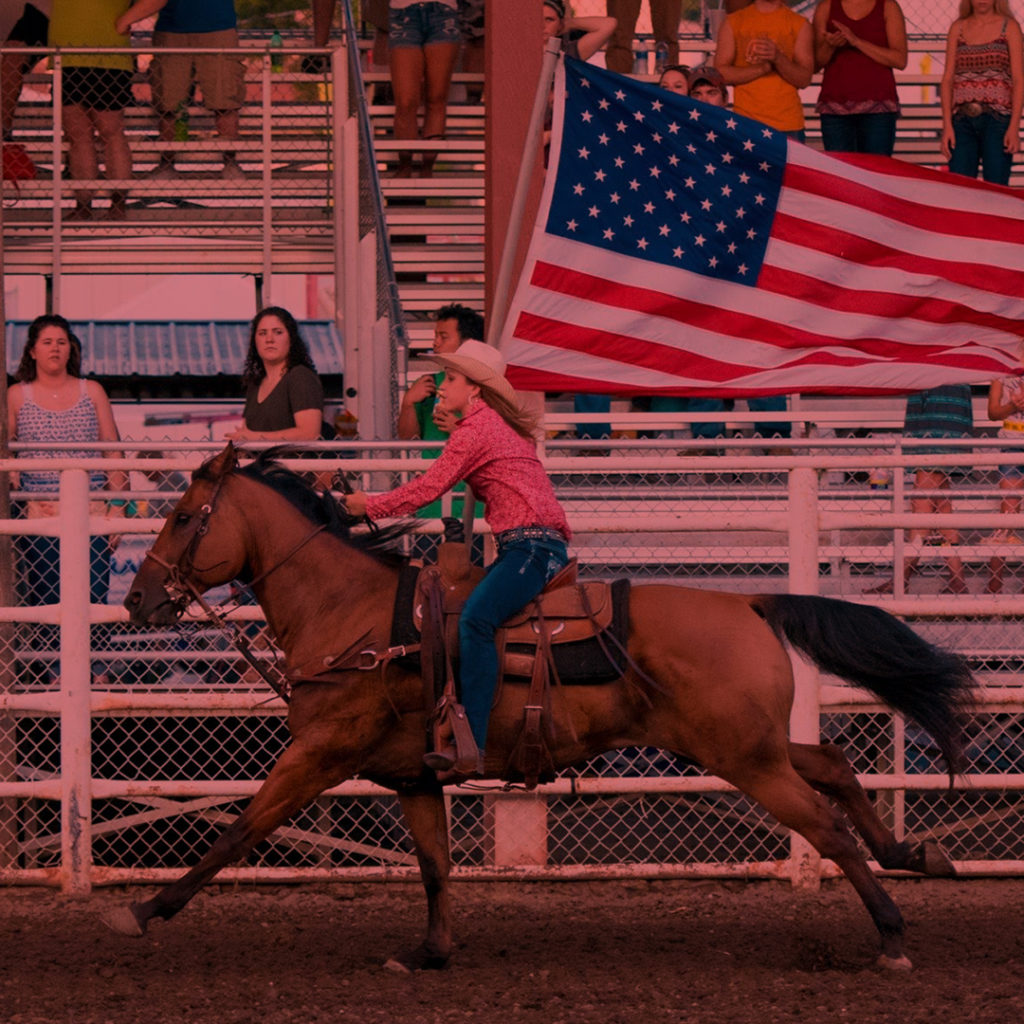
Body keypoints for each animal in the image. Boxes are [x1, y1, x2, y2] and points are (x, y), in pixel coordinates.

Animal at [103, 446, 974, 966]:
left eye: (183, 517)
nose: (139, 600)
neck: (352, 615)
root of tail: (749, 602)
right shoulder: (413, 777)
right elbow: (434, 863)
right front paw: (430, 952)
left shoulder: (316, 755)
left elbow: (238, 830)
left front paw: (143, 911)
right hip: (745, 745)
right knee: (832, 763)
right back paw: (915, 854)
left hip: (745, 760)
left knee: (822, 824)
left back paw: (892, 933)